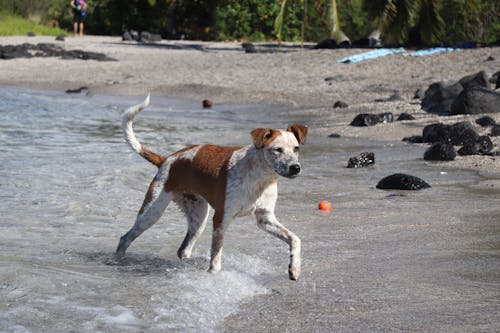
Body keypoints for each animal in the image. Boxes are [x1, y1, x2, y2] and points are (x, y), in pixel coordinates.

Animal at [115, 94, 306, 280]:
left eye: (296, 148)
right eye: (277, 149)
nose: (295, 168)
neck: (260, 177)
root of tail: (167, 159)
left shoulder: (265, 219)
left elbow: (295, 239)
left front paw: (295, 267)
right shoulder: (221, 219)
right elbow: (216, 259)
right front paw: (214, 276)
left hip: (198, 217)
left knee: (183, 250)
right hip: (152, 212)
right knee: (125, 238)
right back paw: (118, 261)